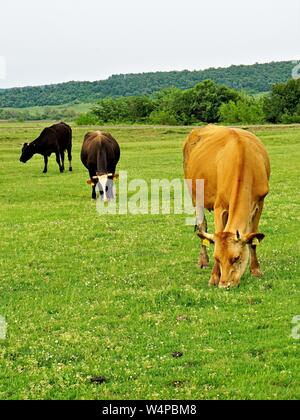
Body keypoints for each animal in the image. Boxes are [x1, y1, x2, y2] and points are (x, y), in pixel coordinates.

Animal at [184, 124, 270, 288]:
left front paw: (256, 270)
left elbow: (253, 238)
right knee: (202, 226)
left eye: (236, 258)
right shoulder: (220, 206)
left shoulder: (260, 202)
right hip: (195, 196)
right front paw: (214, 277)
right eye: (217, 258)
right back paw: (202, 261)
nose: (224, 285)